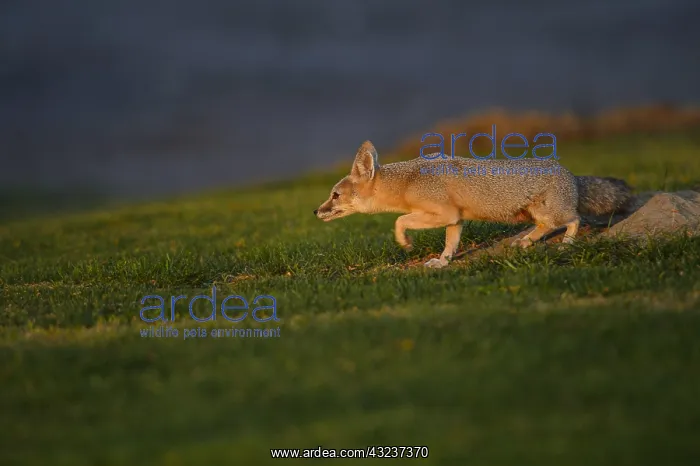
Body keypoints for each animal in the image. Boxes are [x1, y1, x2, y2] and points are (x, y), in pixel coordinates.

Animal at [314, 141, 633, 268]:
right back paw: (526, 241)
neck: (408, 181)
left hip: (550, 211)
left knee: (574, 219)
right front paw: (441, 262)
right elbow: (450, 244)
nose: (315, 211)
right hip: (532, 214)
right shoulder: (455, 219)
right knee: (547, 226)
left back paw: (566, 243)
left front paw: (405, 243)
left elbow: (399, 221)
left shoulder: (443, 213)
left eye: (335, 195)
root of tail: (573, 176)